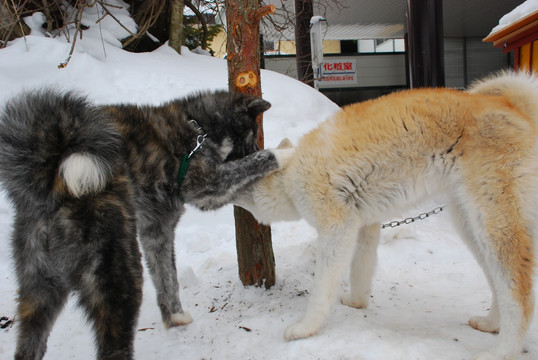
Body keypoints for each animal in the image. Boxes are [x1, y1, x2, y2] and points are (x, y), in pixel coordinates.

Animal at [237, 71, 536, 358]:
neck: (292, 173)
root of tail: (513, 107)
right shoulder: (364, 226)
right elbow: (360, 270)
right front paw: (357, 303)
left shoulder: (337, 229)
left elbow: (322, 287)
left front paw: (305, 328)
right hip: (470, 226)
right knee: (499, 286)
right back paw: (490, 324)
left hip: (495, 225)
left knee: (520, 297)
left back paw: (501, 352)